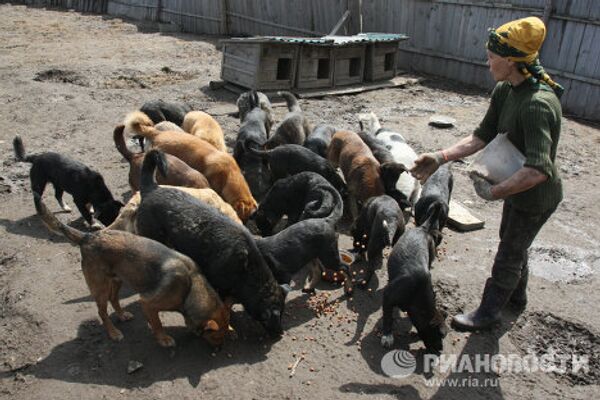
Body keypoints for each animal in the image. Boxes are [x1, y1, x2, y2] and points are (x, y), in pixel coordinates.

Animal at [35, 194, 231, 346]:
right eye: (217, 337)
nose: (220, 348)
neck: (191, 287)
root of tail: (88, 237)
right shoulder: (148, 304)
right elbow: (157, 324)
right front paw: (163, 339)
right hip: (100, 288)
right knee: (102, 312)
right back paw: (113, 333)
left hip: (117, 280)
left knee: (114, 299)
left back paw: (122, 315)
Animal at [380, 203, 446, 354]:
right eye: (439, 335)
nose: (441, 350)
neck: (416, 294)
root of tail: (423, 229)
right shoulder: (387, 297)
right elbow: (387, 318)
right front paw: (387, 335)